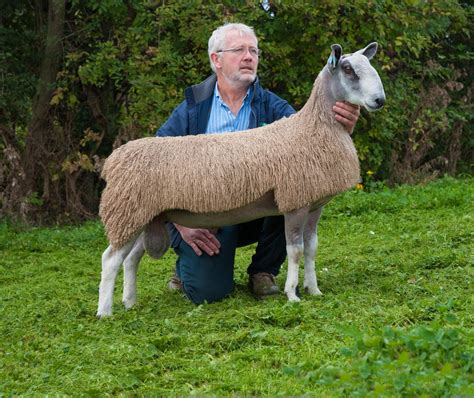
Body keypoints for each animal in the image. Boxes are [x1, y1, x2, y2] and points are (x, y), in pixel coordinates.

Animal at [96, 42, 386, 318]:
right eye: (348, 70)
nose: (379, 100)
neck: (313, 128)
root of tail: (113, 161)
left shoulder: (315, 204)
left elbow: (312, 248)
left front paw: (314, 290)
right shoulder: (294, 203)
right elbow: (296, 251)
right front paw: (292, 294)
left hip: (144, 216)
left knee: (131, 259)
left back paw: (130, 302)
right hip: (127, 213)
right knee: (110, 259)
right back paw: (105, 312)